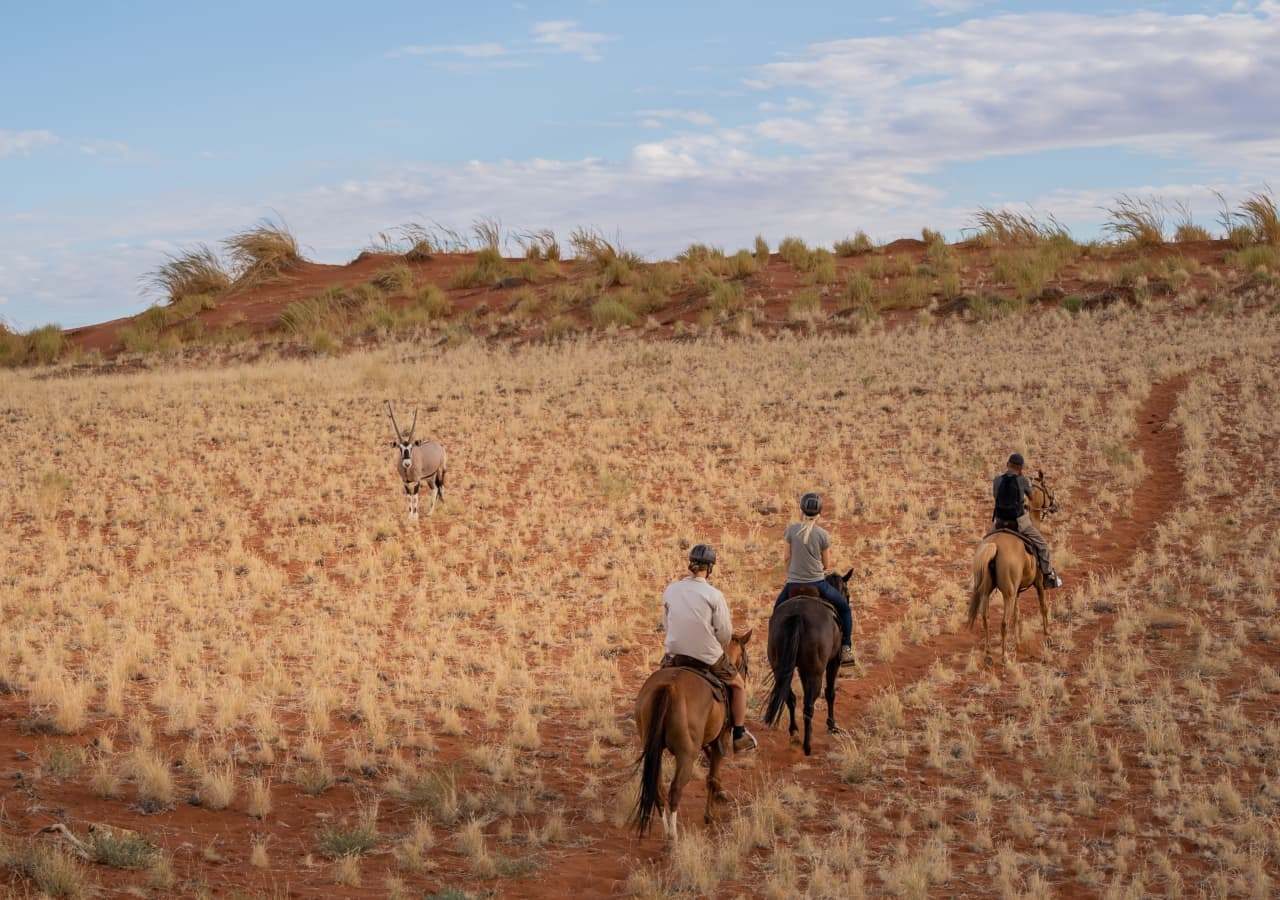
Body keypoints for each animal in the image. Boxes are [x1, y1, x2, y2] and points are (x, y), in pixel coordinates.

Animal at [629, 629, 747, 839]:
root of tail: (669, 687)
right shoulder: (721, 739)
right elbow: (712, 778)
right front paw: (710, 816)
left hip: (654, 749)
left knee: (657, 788)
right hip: (686, 755)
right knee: (675, 790)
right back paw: (672, 837)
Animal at [757, 573, 849, 757]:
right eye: (847, 593)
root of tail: (797, 614)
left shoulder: (800, 668)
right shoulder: (834, 661)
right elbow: (830, 693)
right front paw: (832, 725)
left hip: (780, 668)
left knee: (789, 697)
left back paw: (794, 732)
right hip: (815, 672)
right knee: (808, 705)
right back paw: (807, 745)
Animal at [967, 468, 1059, 665]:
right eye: (1046, 487)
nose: (1055, 506)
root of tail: (994, 546)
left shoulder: (1017, 591)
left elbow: (1017, 615)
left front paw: (1017, 642)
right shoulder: (1038, 583)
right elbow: (1043, 606)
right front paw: (1047, 636)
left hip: (987, 590)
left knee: (985, 617)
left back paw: (988, 653)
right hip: (1007, 593)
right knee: (1003, 622)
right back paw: (1004, 657)